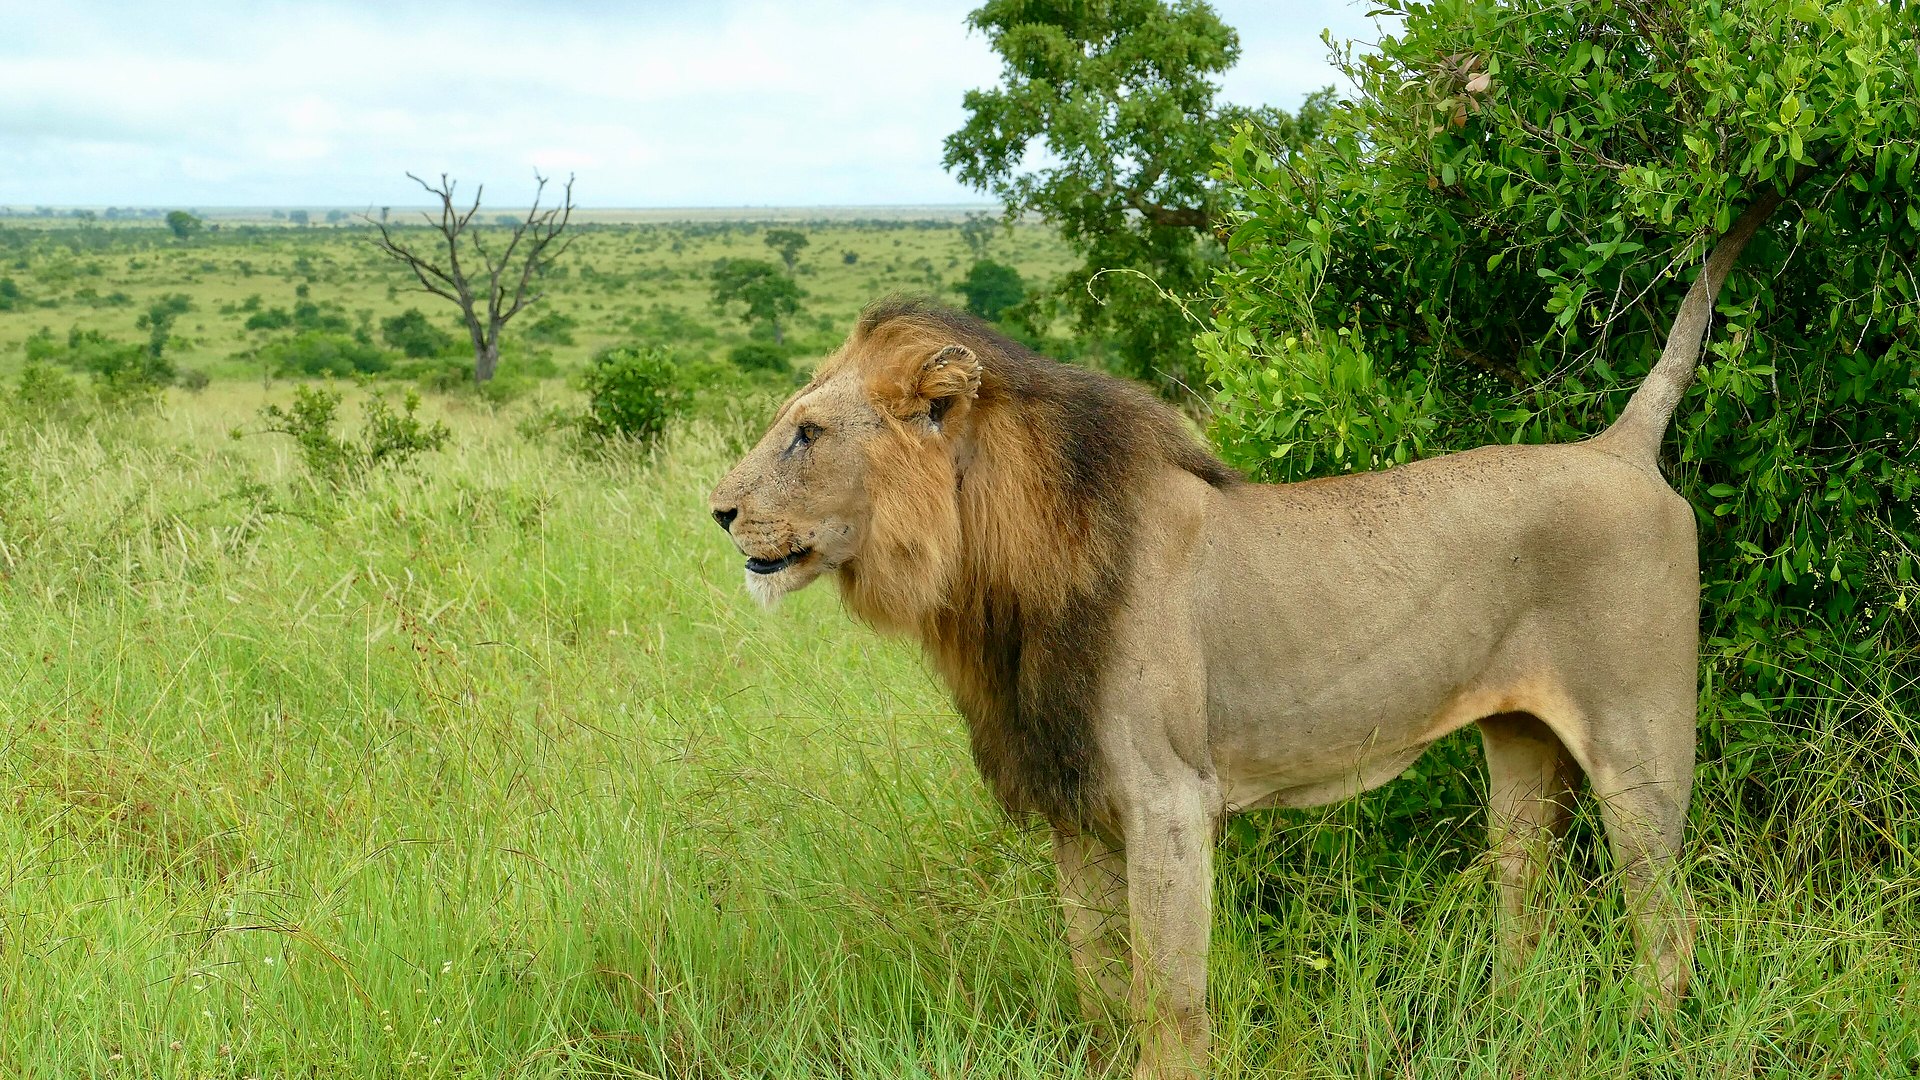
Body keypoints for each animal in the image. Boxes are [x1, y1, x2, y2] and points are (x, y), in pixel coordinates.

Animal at [708, 195, 1781, 1078]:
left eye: (806, 434)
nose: (718, 512)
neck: (990, 582)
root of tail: (1622, 449)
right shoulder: (1074, 809)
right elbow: (1100, 989)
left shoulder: (1170, 800)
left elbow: (1167, 1003)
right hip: (1519, 748)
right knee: (1529, 898)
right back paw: (1511, 1026)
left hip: (1641, 749)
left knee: (1667, 919)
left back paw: (1655, 1037)